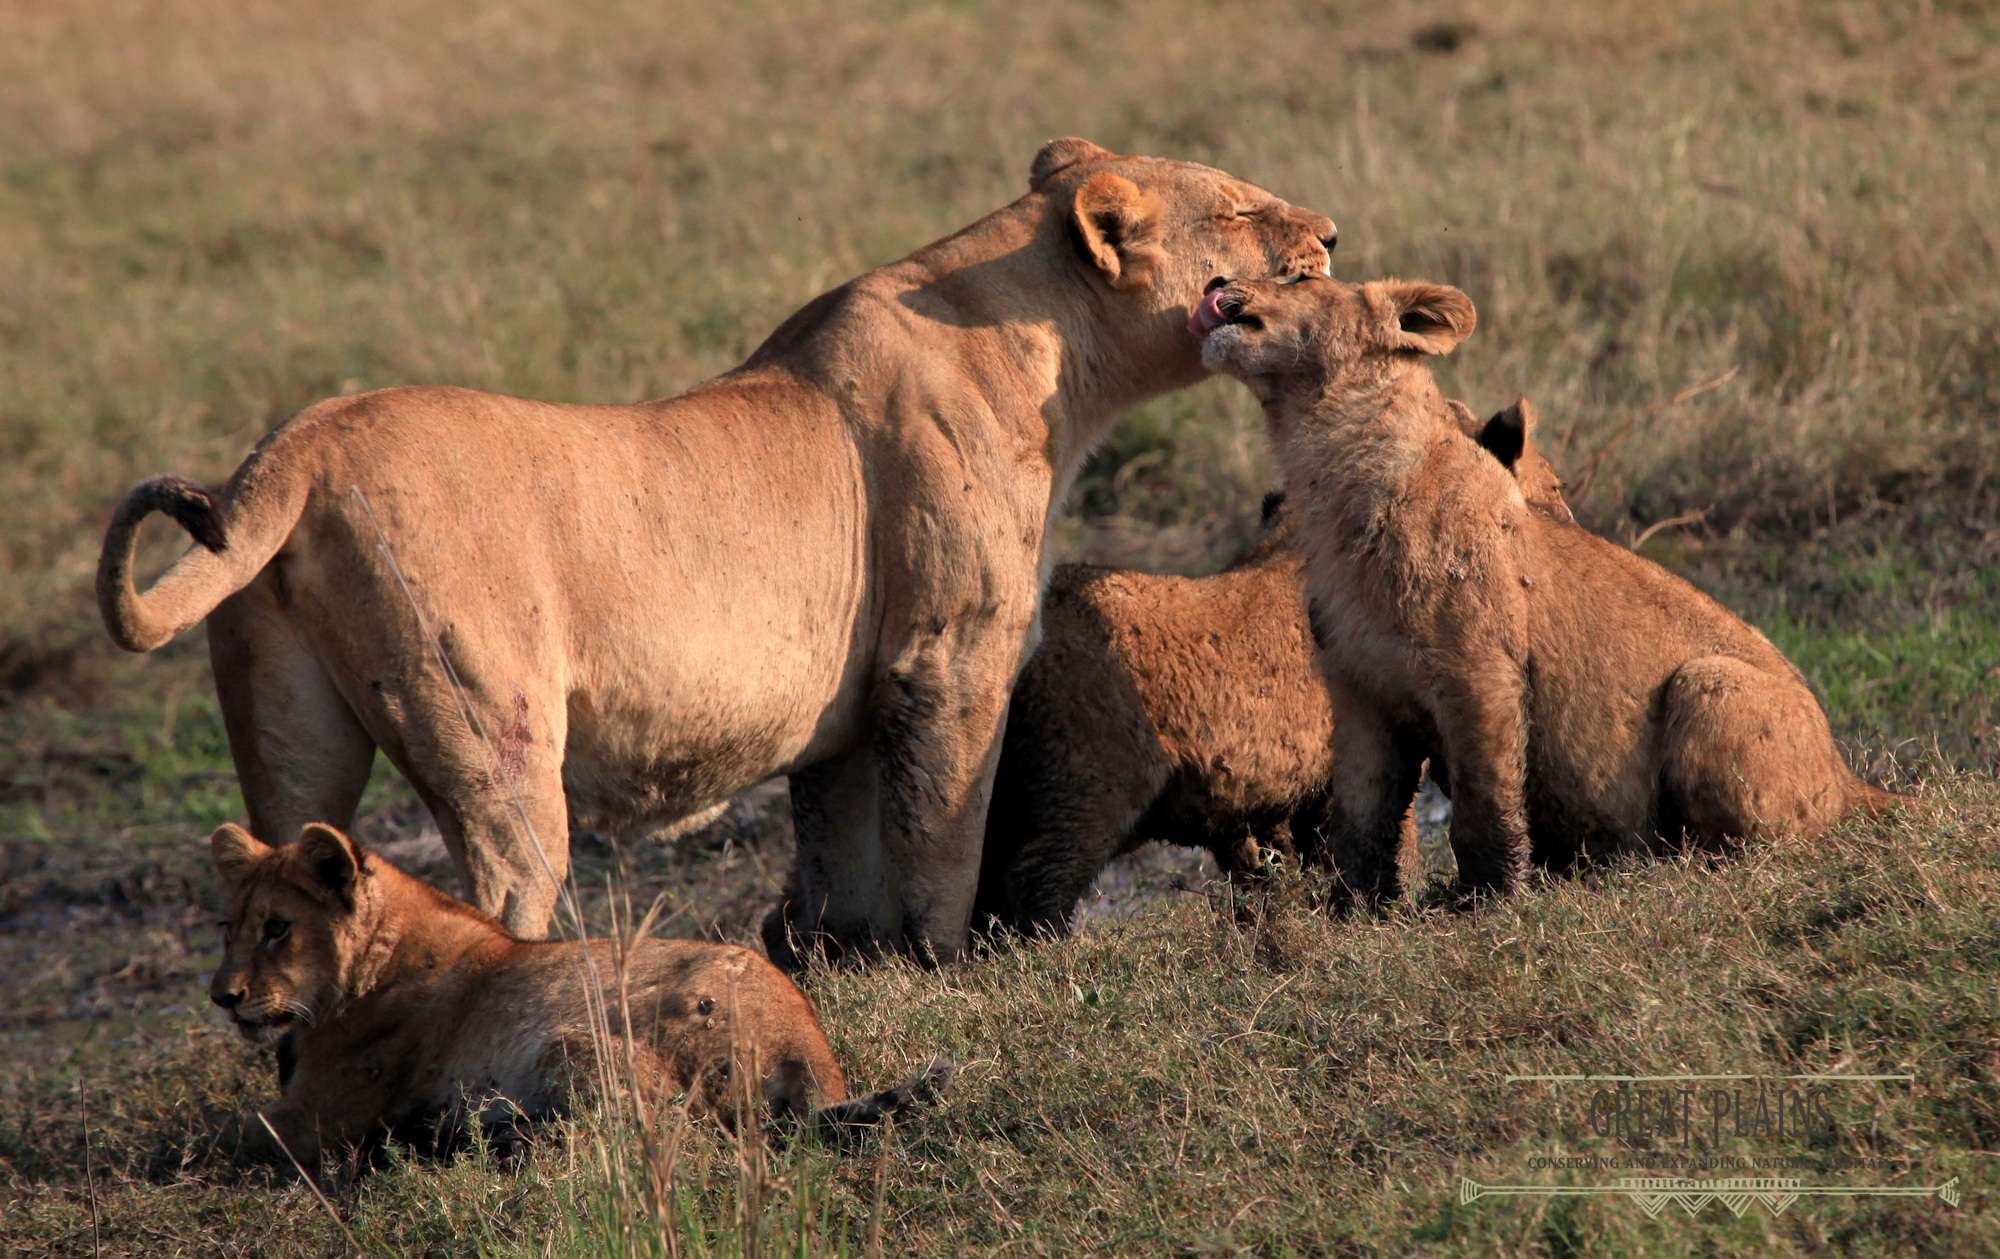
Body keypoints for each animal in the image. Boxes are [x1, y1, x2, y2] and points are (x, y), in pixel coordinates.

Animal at [98, 138, 1337, 963]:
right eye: (1235, 208)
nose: (1329, 236)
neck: (1048, 354)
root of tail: (295, 446)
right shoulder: (947, 657)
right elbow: (945, 831)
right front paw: (958, 968)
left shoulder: (847, 709)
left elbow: (844, 857)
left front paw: (848, 968)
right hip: (494, 730)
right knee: (494, 887)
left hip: (288, 733)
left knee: (285, 868)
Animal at [207, 821, 952, 1170]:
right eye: (227, 926)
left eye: (277, 928)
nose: (223, 997)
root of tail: (809, 1041)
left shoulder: (315, 1116)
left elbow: (223, 1136)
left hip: (574, 1039)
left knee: (673, 1136)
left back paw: (471, 1138)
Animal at [970, 405, 1574, 936]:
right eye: (1555, 486)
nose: (1570, 524)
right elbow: (1390, 841)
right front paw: (1393, 914)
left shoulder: (1276, 803)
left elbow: (1279, 870)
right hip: (1084, 790)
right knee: (1030, 886)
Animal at [1193, 273, 1896, 903]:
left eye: (1299, 277)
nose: (1217, 281)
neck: (1335, 480)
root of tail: (1847, 776)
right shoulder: (1358, 689)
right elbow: (1361, 820)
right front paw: (1353, 913)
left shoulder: (1480, 674)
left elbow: (1483, 805)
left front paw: (1490, 902)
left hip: (1708, 683)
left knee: (1755, 849)